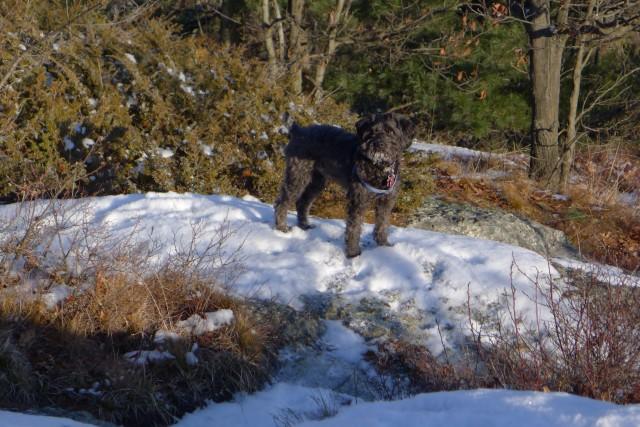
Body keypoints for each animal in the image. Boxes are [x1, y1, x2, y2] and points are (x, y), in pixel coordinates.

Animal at [274, 112, 416, 258]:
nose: (378, 144)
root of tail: (299, 130)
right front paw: (353, 253)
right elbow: (354, 227)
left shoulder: (386, 201)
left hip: (317, 182)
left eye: (391, 131)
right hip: (297, 177)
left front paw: (383, 245)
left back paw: (304, 226)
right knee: (282, 202)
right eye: (371, 132)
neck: (379, 167)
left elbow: (382, 223)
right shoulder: (358, 200)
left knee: (302, 203)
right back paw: (281, 227)